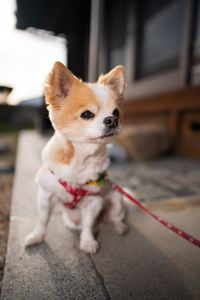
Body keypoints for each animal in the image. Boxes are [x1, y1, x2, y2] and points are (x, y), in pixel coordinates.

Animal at [25, 61, 128, 253]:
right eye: (87, 114)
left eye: (116, 112)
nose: (112, 120)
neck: (81, 157)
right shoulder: (46, 196)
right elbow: (42, 220)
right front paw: (37, 237)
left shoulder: (94, 201)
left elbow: (87, 225)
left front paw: (87, 242)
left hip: (116, 200)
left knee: (116, 218)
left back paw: (120, 227)